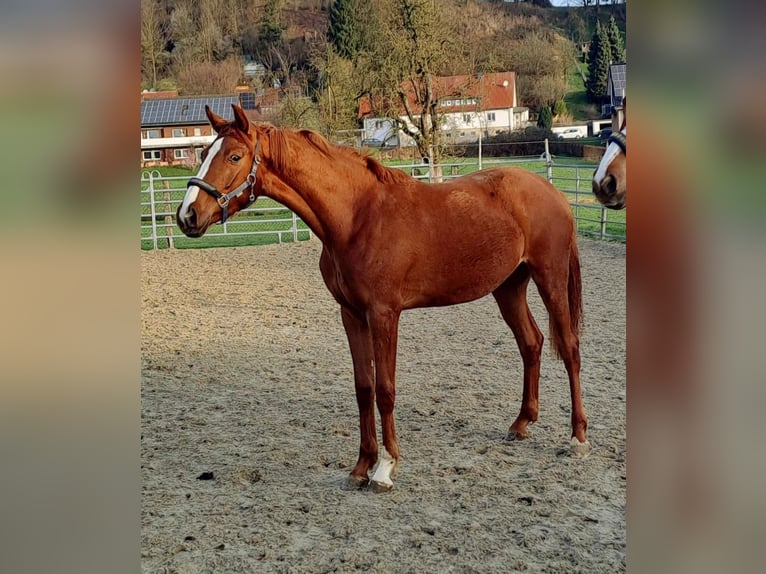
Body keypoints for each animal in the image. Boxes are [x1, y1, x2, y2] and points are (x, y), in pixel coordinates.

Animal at [177, 106, 592, 492]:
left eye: (234, 157)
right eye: (204, 153)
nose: (187, 216)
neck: (356, 217)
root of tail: (552, 192)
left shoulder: (384, 314)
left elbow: (385, 390)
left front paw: (385, 468)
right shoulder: (351, 314)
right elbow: (363, 389)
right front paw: (360, 467)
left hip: (550, 278)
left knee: (569, 348)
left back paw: (577, 437)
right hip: (508, 287)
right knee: (531, 343)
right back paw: (521, 423)